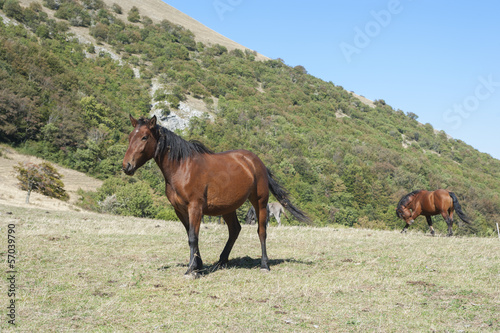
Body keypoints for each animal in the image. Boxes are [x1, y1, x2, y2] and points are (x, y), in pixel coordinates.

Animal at [122, 115, 308, 276]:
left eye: (144, 137)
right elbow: (191, 236)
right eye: (130, 136)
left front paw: (191, 270)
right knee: (235, 230)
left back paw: (264, 265)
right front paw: (197, 266)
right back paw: (221, 261)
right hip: (228, 208)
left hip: (260, 203)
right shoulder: (180, 210)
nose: (127, 166)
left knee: (261, 231)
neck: (182, 168)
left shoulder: (195, 207)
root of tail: (256, 162)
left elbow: (193, 237)